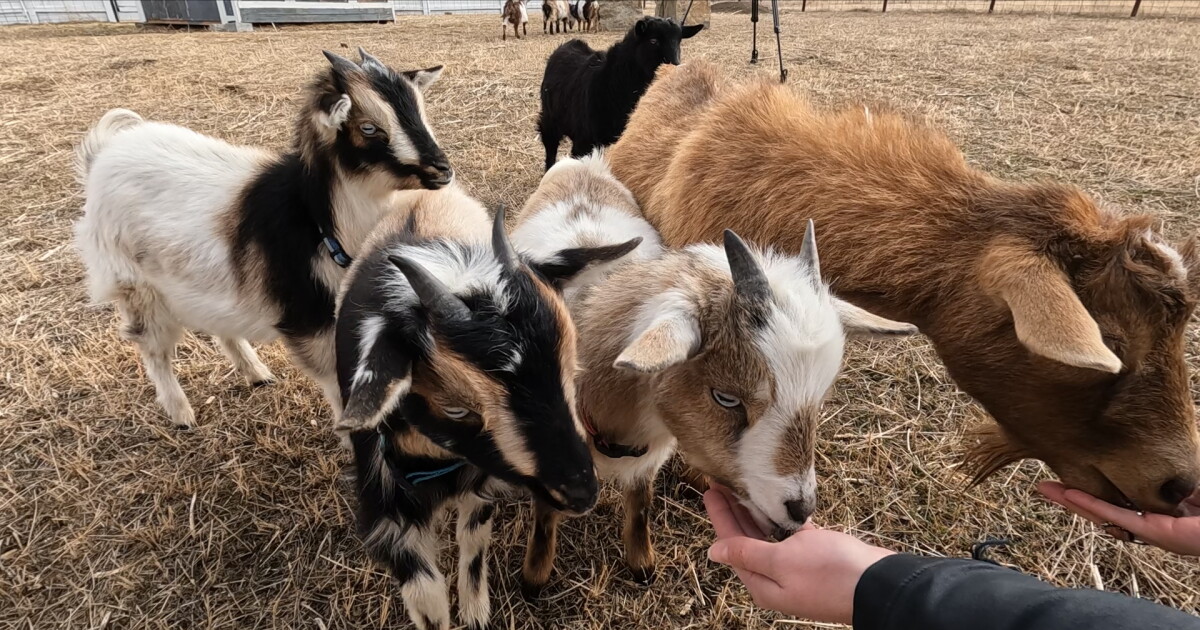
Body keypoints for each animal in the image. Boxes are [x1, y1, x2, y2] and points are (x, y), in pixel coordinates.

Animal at [74, 49, 450, 428]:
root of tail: (103, 152)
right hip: (136, 285)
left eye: (420, 114)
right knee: (153, 347)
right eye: (369, 128)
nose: (443, 170)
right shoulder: (308, 319)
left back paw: (257, 373)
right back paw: (181, 413)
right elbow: (337, 379)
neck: (321, 222)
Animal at [337, 184, 639, 630]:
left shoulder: (480, 485)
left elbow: (474, 541)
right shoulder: (385, 504)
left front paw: (476, 612)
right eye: (457, 409)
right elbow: (426, 598)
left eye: (572, 371)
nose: (582, 492)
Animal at [512, 163, 915, 591]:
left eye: (819, 398)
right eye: (726, 397)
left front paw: (642, 564)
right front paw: (534, 577)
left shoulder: (649, 458)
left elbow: (640, 505)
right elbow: (544, 517)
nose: (801, 508)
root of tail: (581, 164)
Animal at [537, 16, 702, 172]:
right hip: (550, 118)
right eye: (653, 41)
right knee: (550, 144)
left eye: (679, 41)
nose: (675, 68)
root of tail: (569, 44)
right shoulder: (583, 140)